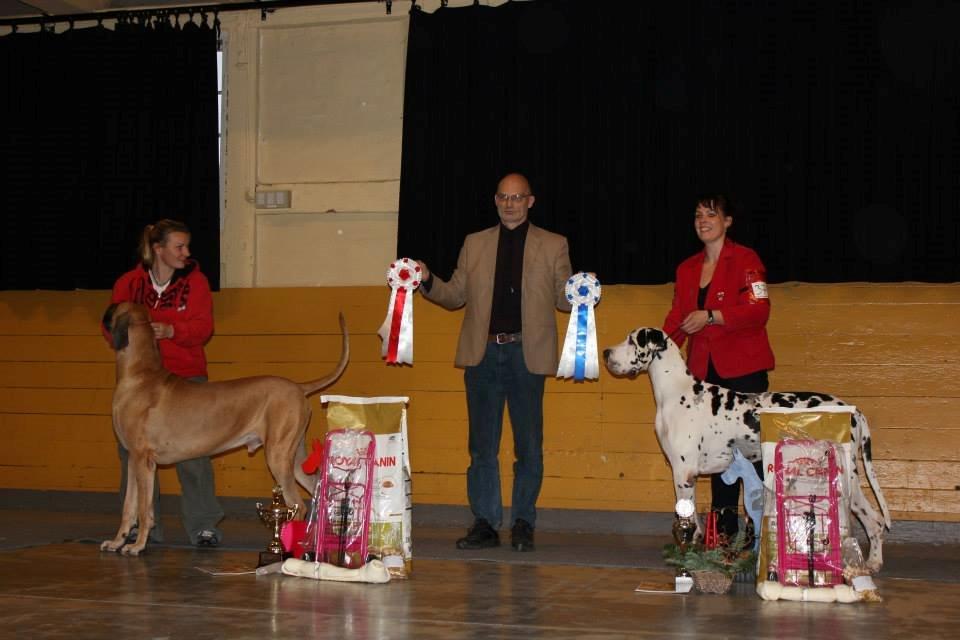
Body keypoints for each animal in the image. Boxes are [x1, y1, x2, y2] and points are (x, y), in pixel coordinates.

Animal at [100, 302, 348, 556]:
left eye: (113, 307)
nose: (106, 310)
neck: (140, 374)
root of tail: (299, 387)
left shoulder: (143, 460)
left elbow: (142, 508)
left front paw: (137, 545)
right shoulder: (132, 459)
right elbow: (129, 506)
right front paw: (118, 541)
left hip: (278, 455)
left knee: (297, 505)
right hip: (294, 456)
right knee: (317, 491)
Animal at [608, 328, 892, 572]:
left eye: (632, 340)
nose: (607, 353)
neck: (677, 392)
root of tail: (854, 410)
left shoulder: (683, 472)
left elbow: (685, 515)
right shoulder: (686, 474)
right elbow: (694, 518)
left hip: (844, 477)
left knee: (873, 520)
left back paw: (868, 563)